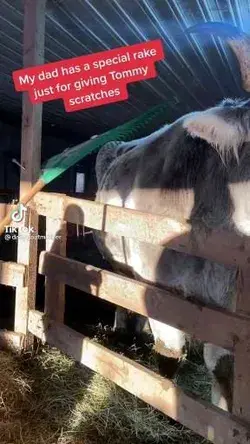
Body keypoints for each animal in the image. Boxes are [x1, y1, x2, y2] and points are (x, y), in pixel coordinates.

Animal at [92, 98, 250, 412]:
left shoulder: (229, 309)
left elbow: (223, 368)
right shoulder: (158, 286)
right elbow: (168, 355)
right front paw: (161, 404)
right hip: (118, 263)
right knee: (121, 297)